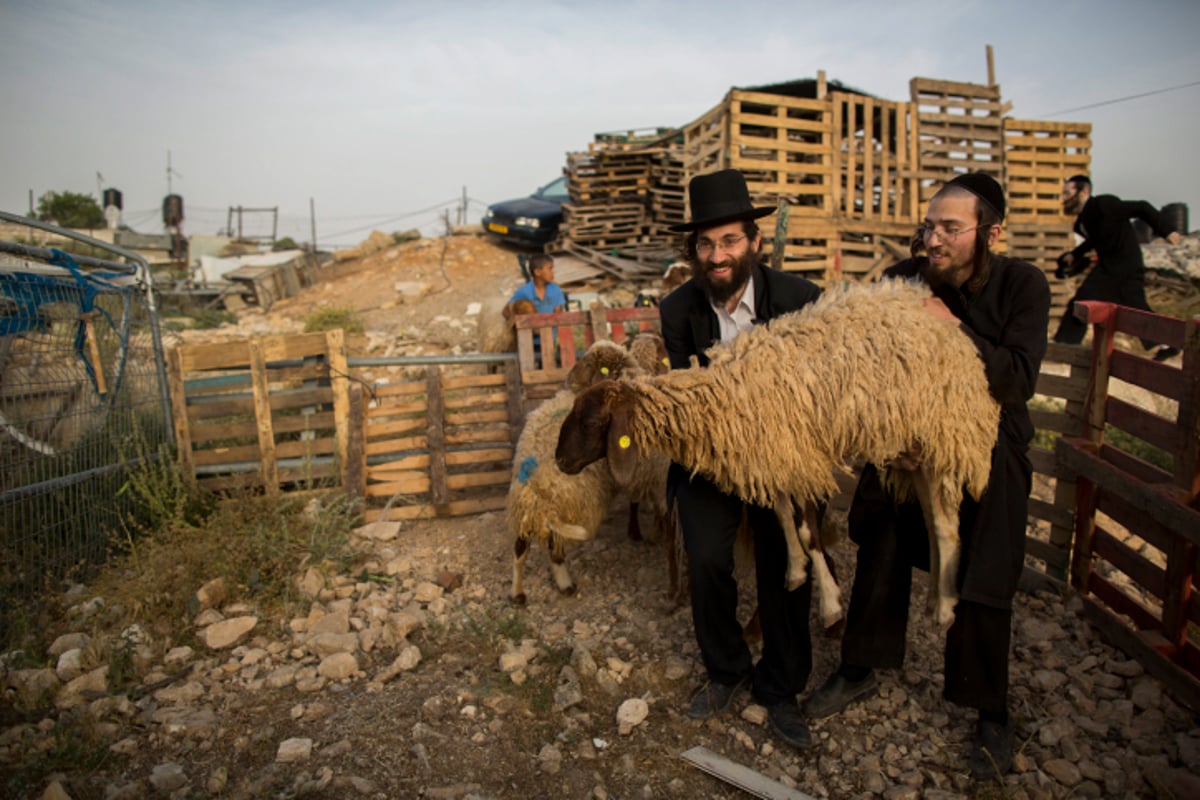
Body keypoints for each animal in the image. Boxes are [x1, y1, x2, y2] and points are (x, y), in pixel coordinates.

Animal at [556, 278, 998, 628]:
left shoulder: (801, 454)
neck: (725, 395)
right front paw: (796, 573)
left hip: (943, 437)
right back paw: (935, 599)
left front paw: (831, 605)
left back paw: (945, 609)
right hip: (915, 455)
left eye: (590, 423)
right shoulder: (775, 454)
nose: (560, 460)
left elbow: (809, 531)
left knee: (946, 527)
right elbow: (784, 515)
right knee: (934, 523)